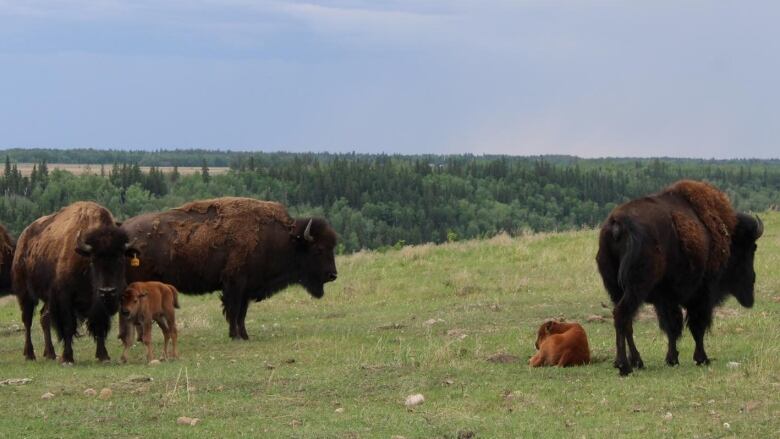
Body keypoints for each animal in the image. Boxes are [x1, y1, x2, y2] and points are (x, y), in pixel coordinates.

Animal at [11, 203, 137, 364]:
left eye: (121, 259)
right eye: (93, 260)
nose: (107, 291)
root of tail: (23, 238)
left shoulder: (97, 304)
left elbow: (99, 325)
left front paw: (103, 356)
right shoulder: (64, 298)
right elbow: (68, 326)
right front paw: (67, 357)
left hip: (47, 298)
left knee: (44, 317)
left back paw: (50, 354)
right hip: (25, 294)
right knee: (28, 321)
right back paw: (30, 354)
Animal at [122, 199, 338, 340]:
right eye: (319, 249)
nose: (333, 275)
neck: (285, 239)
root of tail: (124, 230)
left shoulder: (247, 289)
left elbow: (242, 313)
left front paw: (244, 335)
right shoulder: (235, 284)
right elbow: (233, 311)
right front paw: (235, 336)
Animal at [596, 180, 760, 376]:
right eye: (751, 248)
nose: (753, 279)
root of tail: (617, 225)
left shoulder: (666, 298)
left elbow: (672, 327)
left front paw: (672, 359)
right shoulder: (702, 295)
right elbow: (696, 325)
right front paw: (702, 358)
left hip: (616, 289)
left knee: (626, 321)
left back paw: (637, 362)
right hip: (636, 288)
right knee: (622, 315)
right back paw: (624, 366)